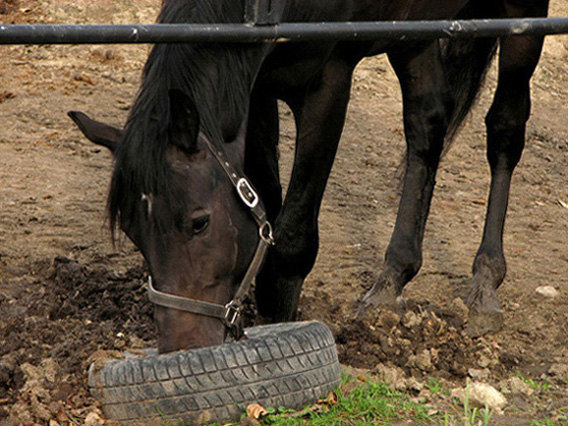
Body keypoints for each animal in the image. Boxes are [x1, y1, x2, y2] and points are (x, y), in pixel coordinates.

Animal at [67, 0, 552, 352]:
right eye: (133, 233)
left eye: (199, 222)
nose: (182, 349)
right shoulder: (258, 87)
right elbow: (265, 208)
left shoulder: (328, 80)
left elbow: (291, 244)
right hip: (412, 32)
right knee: (426, 127)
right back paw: (391, 279)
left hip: (522, 20)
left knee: (505, 129)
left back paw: (485, 282)